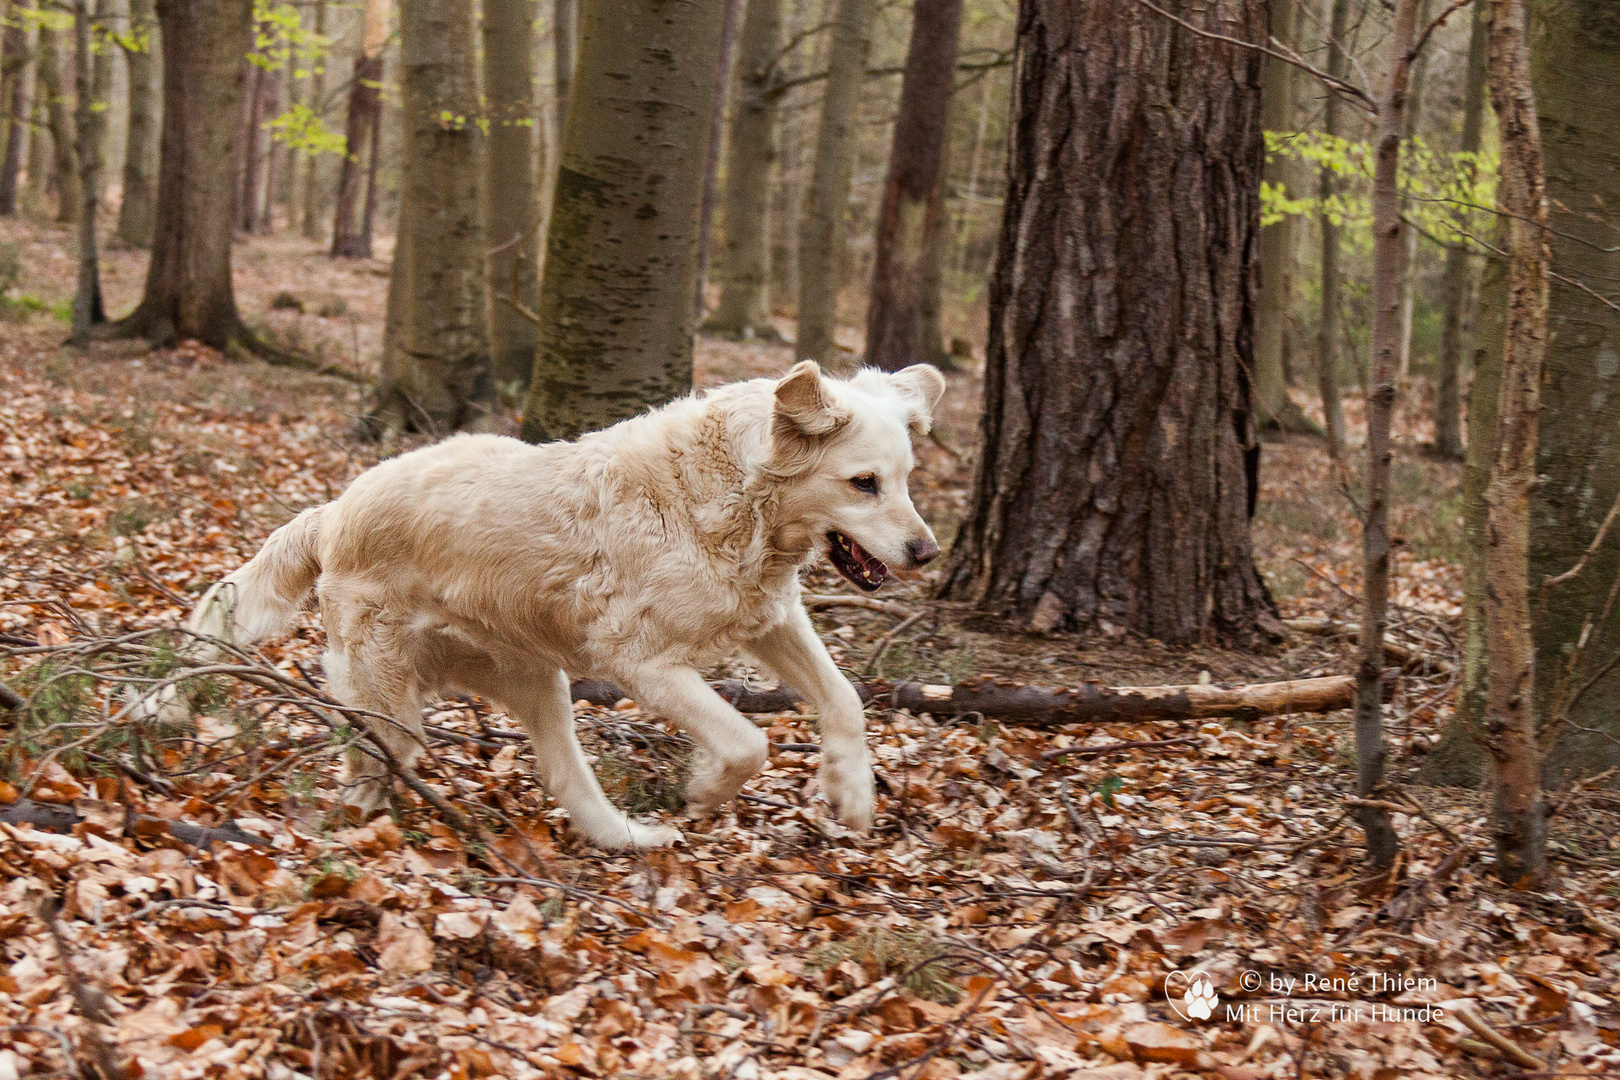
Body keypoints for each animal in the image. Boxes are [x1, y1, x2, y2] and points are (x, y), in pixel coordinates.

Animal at [174, 365, 946, 854]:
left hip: (534, 678)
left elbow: (843, 697)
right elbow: (745, 741)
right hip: (393, 704)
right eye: (863, 482)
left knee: (563, 776)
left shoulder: (772, 618)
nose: (927, 551)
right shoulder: (642, 662)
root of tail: (334, 511)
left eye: (907, 479)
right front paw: (704, 790)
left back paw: (629, 839)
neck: (731, 498)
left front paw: (851, 793)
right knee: (367, 773)